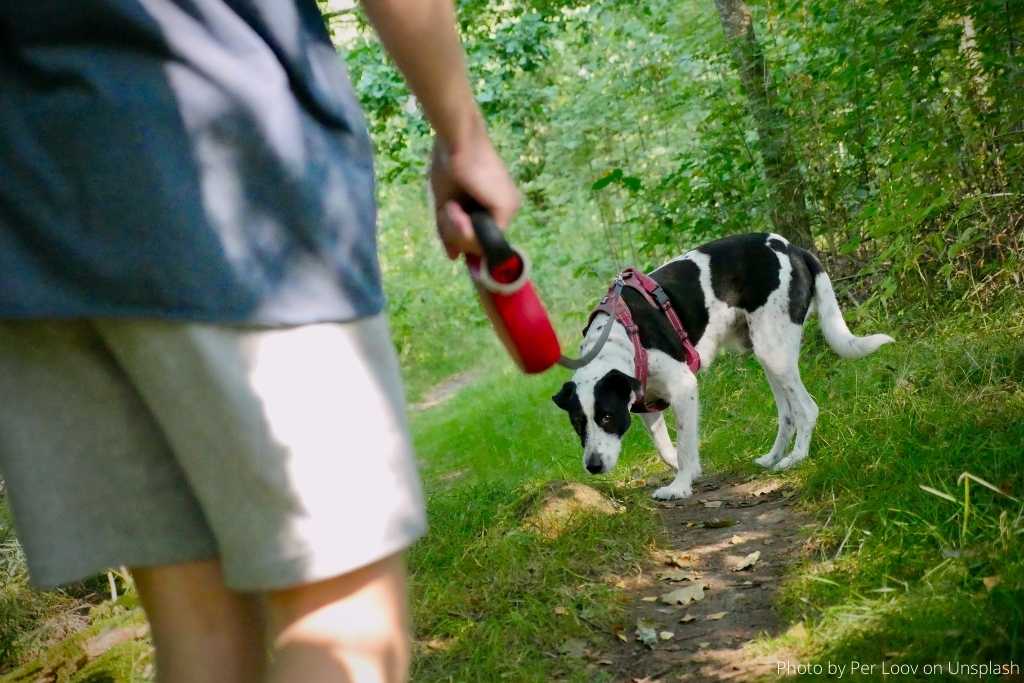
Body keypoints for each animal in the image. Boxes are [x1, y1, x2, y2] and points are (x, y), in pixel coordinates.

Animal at [548, 232, 892, 499]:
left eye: (606, 417)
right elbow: (665, 448)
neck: (622, 335)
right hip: (767, 353)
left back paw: (794, 459)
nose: (593, 466)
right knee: (788, 413)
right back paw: (772, 457)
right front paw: (685, 471)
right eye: (578, 423)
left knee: (807, 409)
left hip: (774, 351)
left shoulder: (684, 387)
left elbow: (685, 445)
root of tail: (793, 248)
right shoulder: (645, 401)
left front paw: (680, 487)